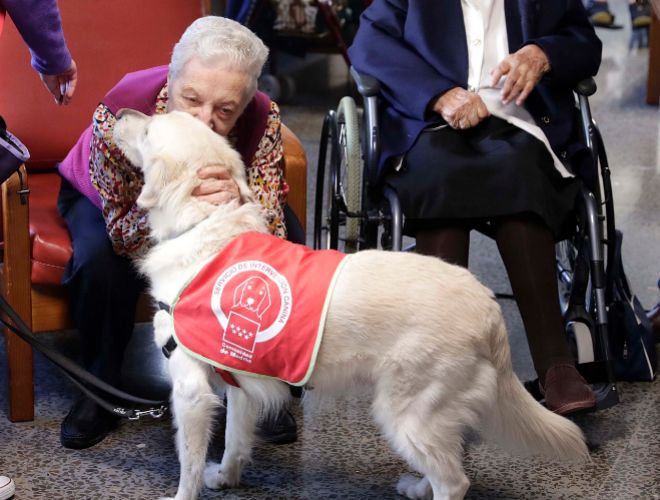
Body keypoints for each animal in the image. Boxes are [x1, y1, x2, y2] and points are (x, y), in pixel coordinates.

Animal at [112, 110, 588, 500]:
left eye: (149, 130)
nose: (118, 112)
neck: (204, 227)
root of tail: (488, 305)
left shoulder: (190, 390)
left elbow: (189, 463)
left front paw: (184, 494)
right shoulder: (239, 379)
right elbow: (233, 441)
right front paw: (226, 478)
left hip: (406, 412)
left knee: (455, 482)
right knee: (447, 463)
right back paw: (417, 486)